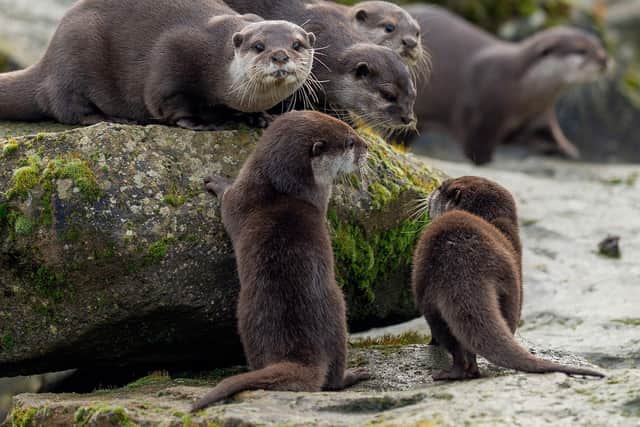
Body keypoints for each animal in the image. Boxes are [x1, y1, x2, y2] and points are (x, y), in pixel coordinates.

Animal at [0, 0, 315, 130]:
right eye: (259, 46)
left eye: (297, 44)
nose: (279, 55)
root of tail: (47, 59)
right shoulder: (175, 54)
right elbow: (167, 100)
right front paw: (201, 122)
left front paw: (260, 117)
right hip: (74, 51)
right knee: (67, 108)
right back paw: (113, 119)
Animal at [192, 111, 370, 411]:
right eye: (349, 142)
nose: (367, 147)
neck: (279, 189)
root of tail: (299, 352)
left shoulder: (239, 198)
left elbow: (227, 198)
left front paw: (219, 181)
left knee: (331, 382)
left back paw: (353, 375)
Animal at [406, 5, 611, 165]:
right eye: (581, 50)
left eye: (599, 44)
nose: (604, 60)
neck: (519, 90)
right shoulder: (480, 109)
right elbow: (475, 139)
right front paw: (482, 159)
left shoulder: (540, 114)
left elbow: (549, 133)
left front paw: (567, 149)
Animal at [412, 176, 605, 380]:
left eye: (441, 187)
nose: (431, 192)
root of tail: (464, 262)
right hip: (509, 286)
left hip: (428, 295)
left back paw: (447, 373)